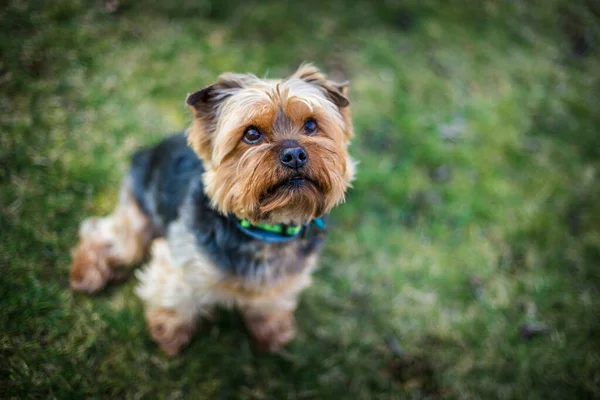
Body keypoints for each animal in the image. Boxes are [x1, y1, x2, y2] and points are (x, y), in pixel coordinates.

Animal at [68, 64, 354, 354]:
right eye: (251, 134)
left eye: (311, 125)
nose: (294, 154)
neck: (265, 229)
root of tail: (147, 151)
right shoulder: (181, 261)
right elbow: (175, 300)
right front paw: (169, 338)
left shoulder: (284, 279)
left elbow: (270, 304)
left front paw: (272, 335)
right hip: (136, 217)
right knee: (104, 235)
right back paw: (85, 275)